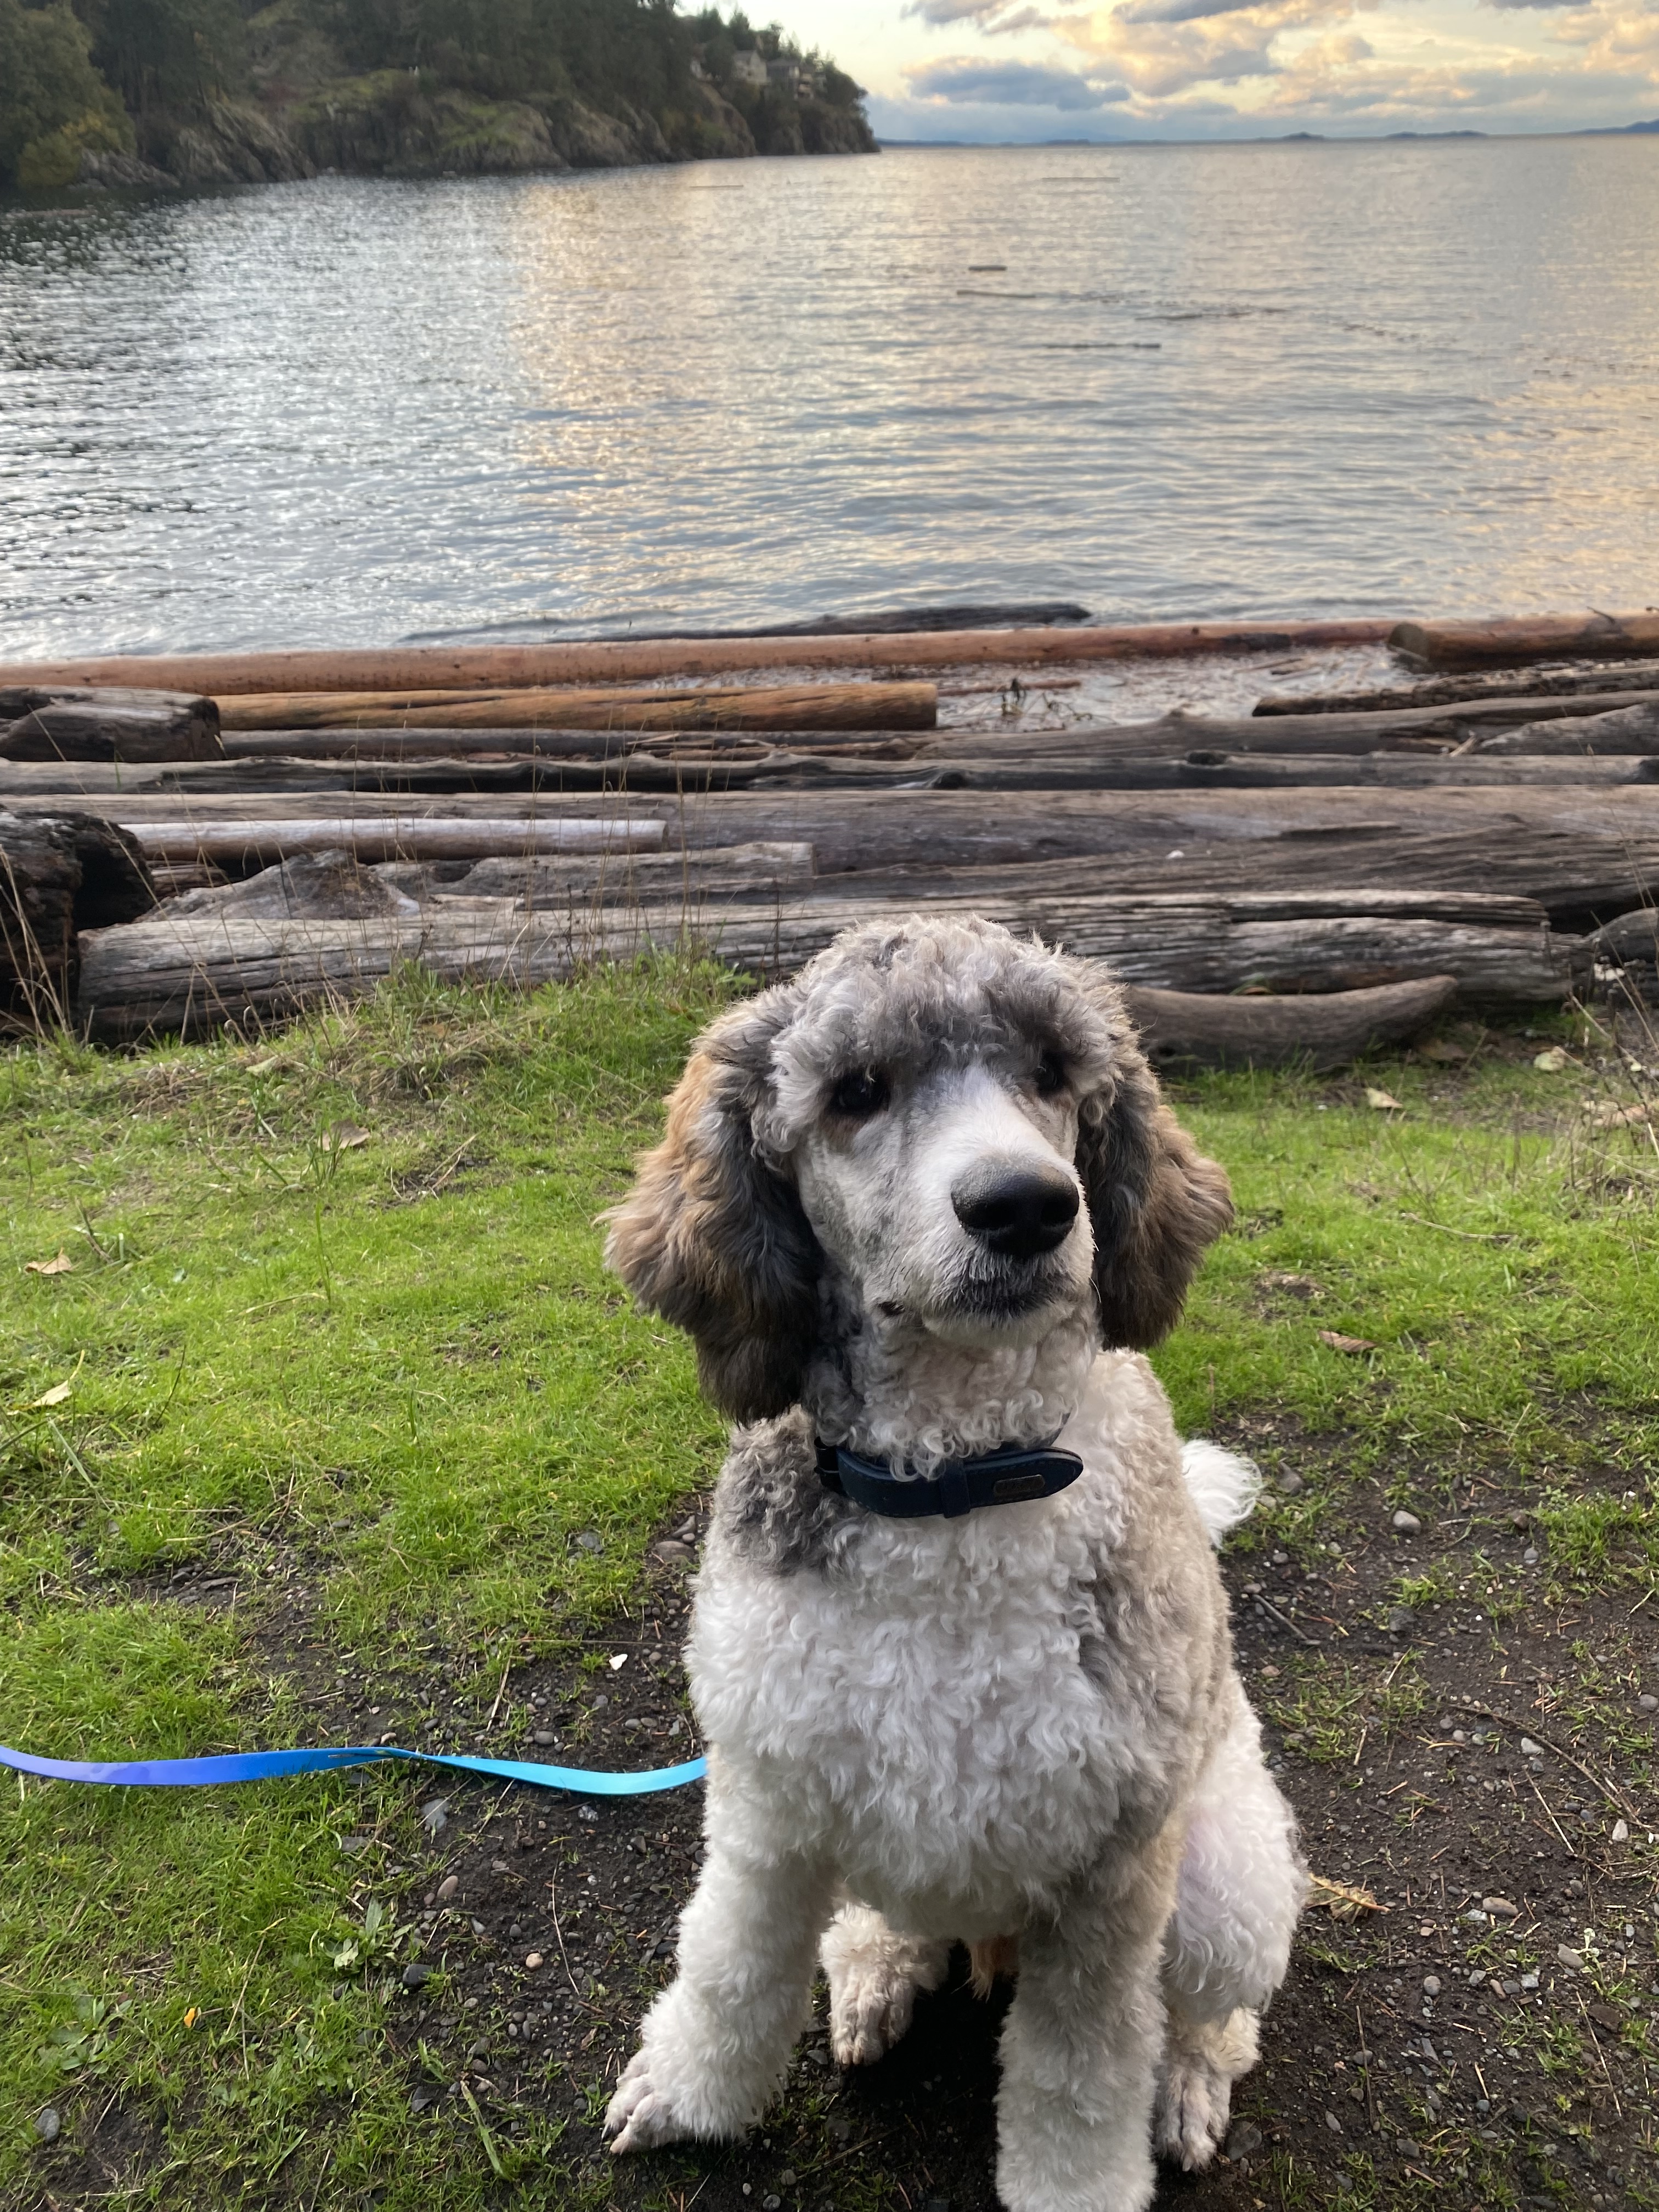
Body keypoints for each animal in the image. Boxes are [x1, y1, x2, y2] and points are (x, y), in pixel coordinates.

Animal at [600, 915, 1305, 2212]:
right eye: (856, 1091)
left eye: (1051, 1071)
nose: (1024, 1206)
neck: (959, 1488)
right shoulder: (767, 1807)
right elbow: (729, 1970)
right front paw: (686, 2096)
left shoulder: (1109, 1886)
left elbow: (1080, 2080)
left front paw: (1079, 2183)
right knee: (881, 1920)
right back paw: (876, 1968)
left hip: (1225, 1887)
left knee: (1214, 2016)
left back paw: (1187, 2085)